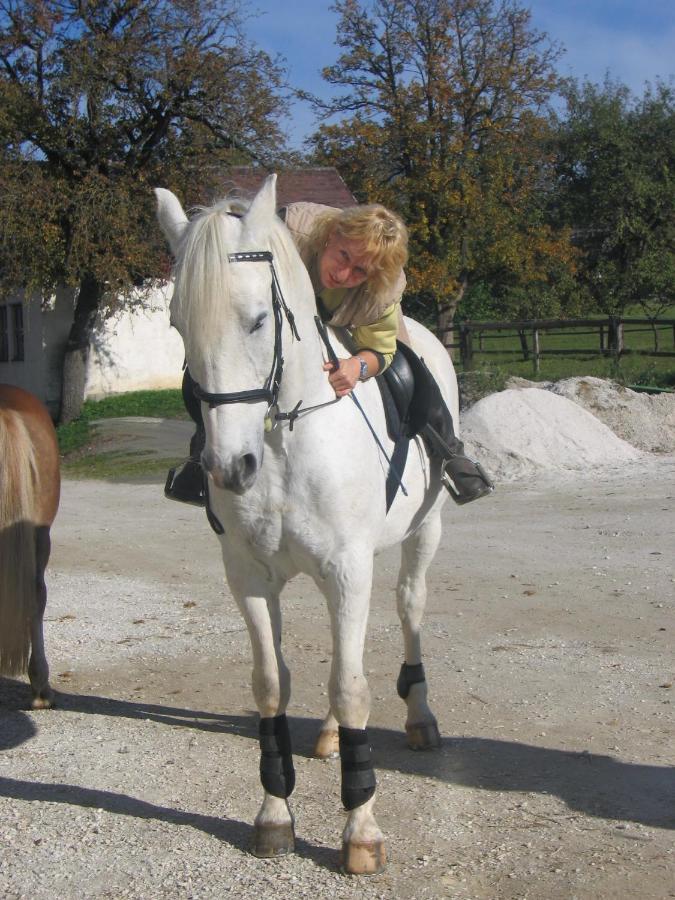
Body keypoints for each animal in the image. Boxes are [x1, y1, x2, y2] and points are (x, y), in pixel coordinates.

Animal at [156, 176, 456, 872]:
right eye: (180, 326)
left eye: (258, 319)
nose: (229, 467)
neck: (283, 440)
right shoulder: (249, 577)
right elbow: (272, 686)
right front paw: (273, 815)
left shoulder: (347, 570)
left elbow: (353, 688)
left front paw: (361, 829)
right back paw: (327, 735)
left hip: (422, 536)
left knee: (409, 608)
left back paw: (420, 717)